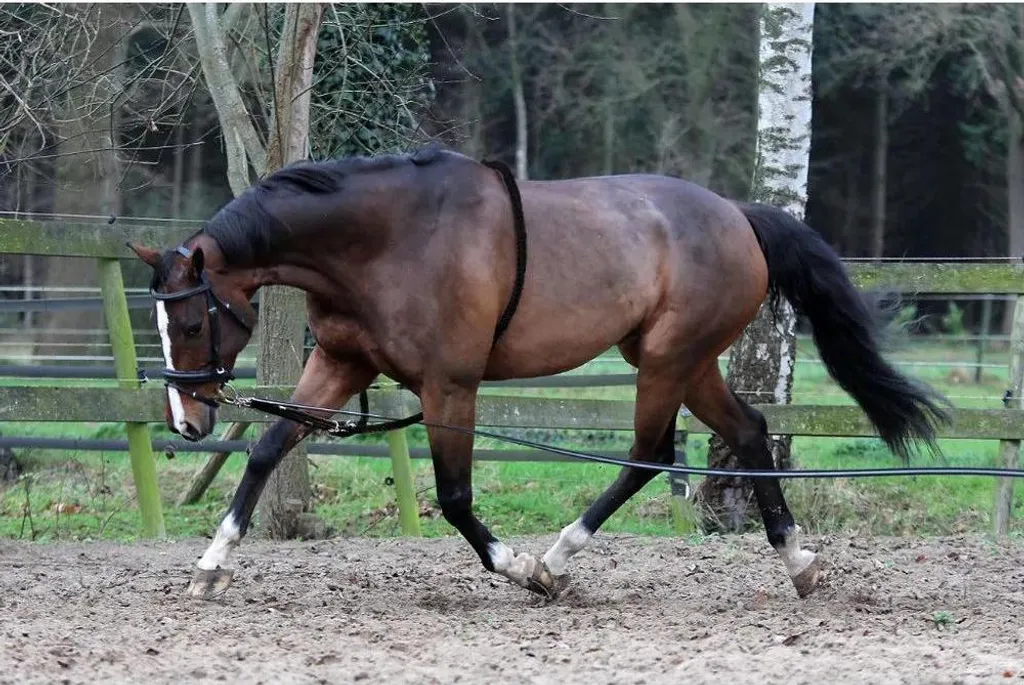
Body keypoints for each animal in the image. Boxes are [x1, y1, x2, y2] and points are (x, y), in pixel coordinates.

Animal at [129, 146, 949, 601]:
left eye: (193, 323)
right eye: (164, 324)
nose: (187, 422)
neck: (386, 240)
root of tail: (738, 215)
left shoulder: (450, 386)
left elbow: (456, 498)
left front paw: (517, 566)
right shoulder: (340, 362)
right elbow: (268, 450)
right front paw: (211, 565)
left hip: (667, 360)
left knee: (648, 454)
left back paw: (556, 561)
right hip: (682, 362)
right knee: (747, 433)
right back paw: (798, 562)